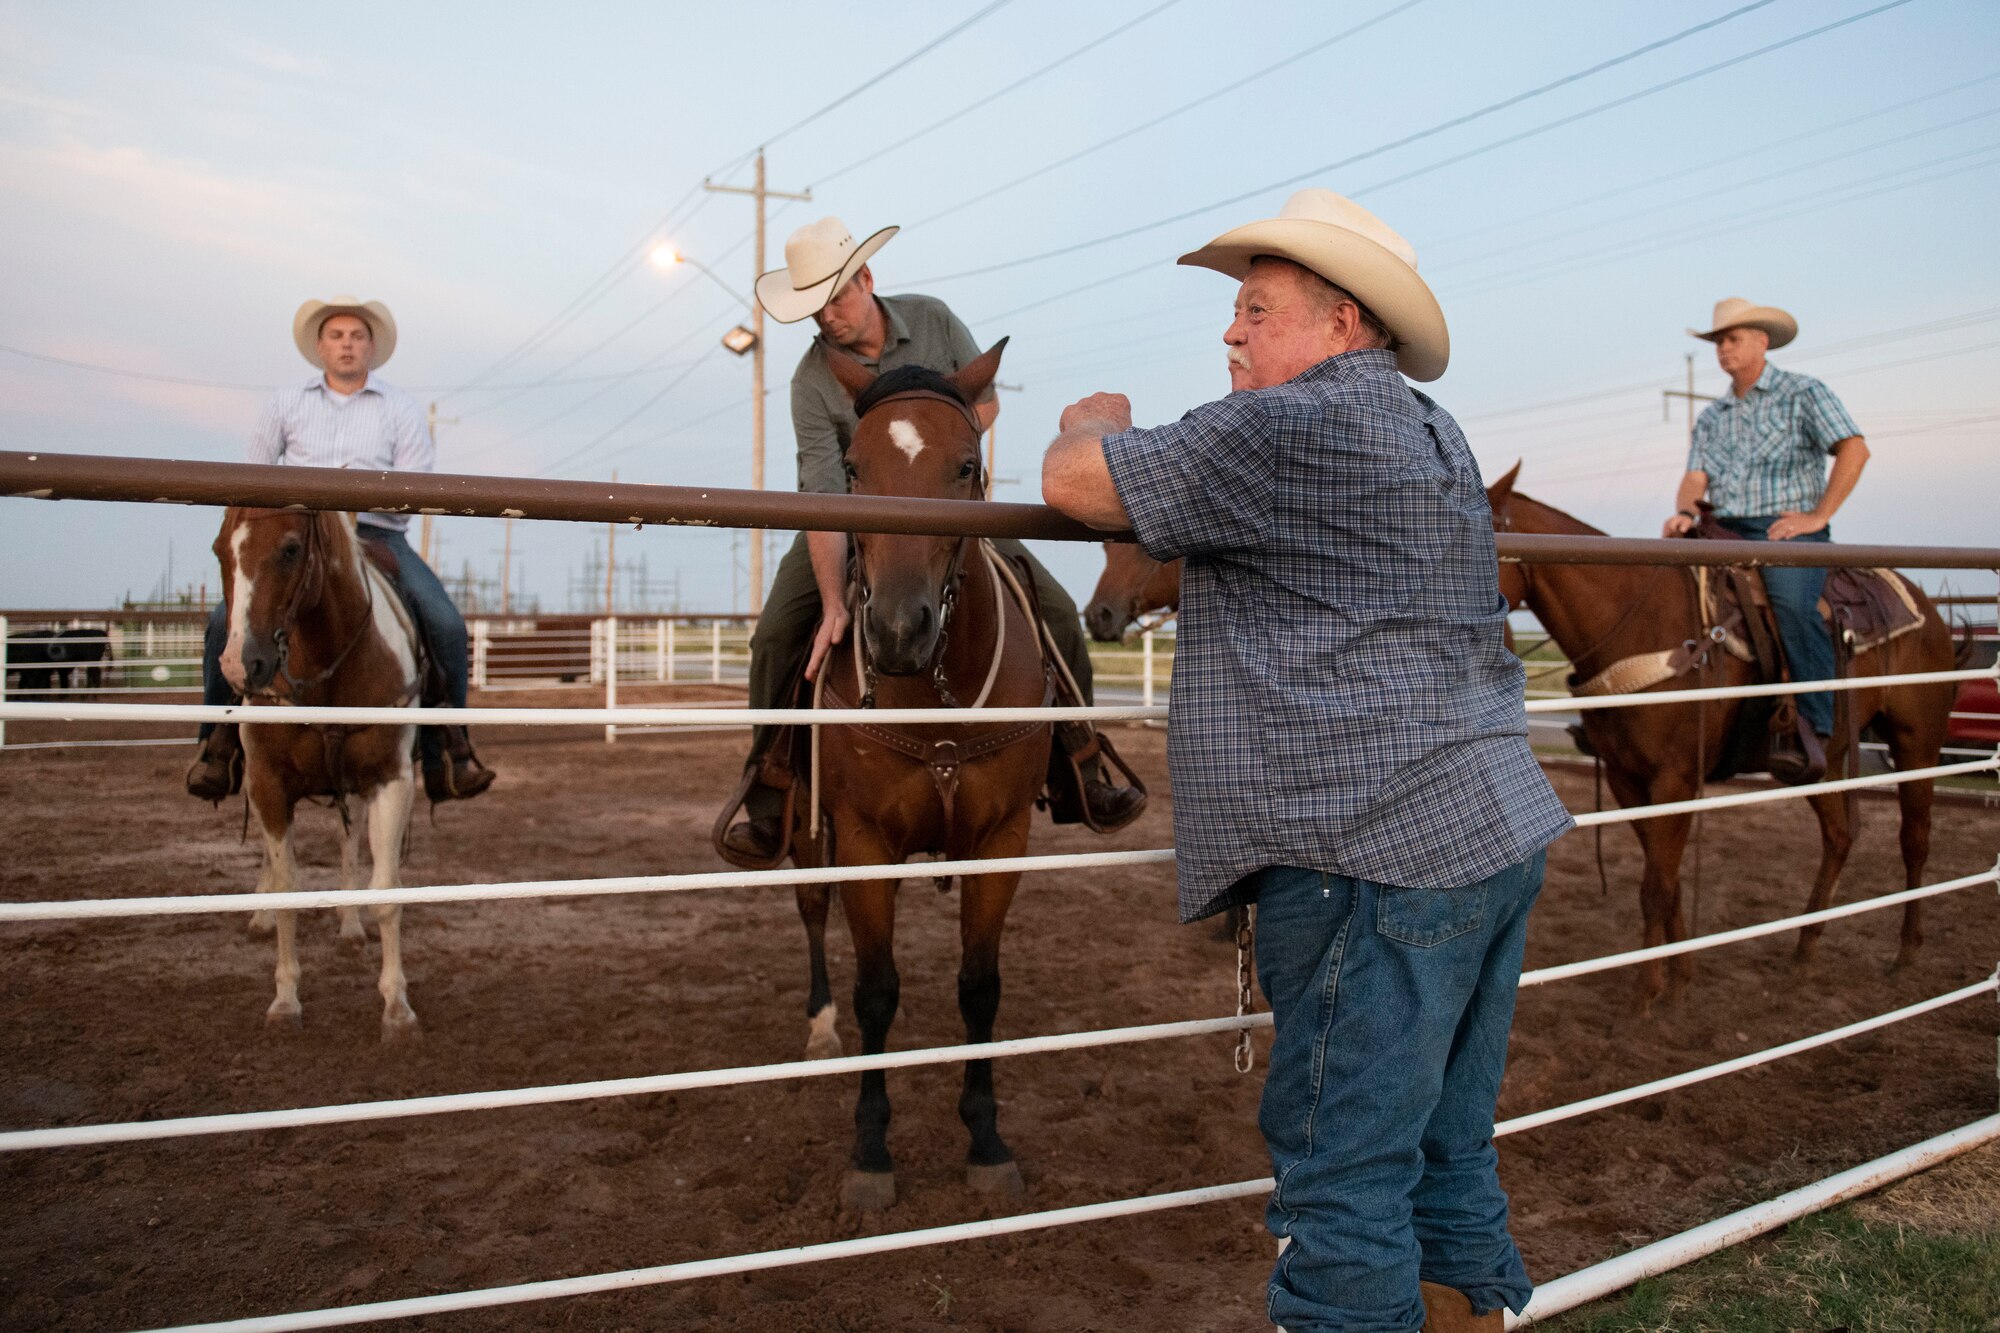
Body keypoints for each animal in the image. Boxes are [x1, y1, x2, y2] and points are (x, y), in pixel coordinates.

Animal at [217, 504, 424, 1032]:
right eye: (220, 550)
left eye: (291, 549)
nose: (241, 666)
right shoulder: (267, 782)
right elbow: (286, 885)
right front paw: (286, 999)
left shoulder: (390, 780)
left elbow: (385, 889)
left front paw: (396, 1005)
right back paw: (260, 916)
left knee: (348, 845)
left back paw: (350, 924)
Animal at [788, 338, 1056, 1208]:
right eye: (853, 464)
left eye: (967, 465)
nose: (899, 630)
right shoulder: (863, 841)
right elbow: (878, 990)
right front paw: (871, 1151)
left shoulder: (1001, 839)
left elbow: (979, 984)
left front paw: (986, 1137)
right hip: (806, 827)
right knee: (811, 911)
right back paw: (819, 1026)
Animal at [1496, 466, 1960, 1008]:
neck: (1637, 622)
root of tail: (1926, 606)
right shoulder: (1626, 779)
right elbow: (1668, 880)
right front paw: (1681, 976)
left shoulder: (1675, 780)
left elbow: (1656, 885)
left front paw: (1646, 993)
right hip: (1826, 761)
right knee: (1840, 835)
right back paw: (1805, 948)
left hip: (1916, 741)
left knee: (1915, 838)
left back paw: (1906, 951)